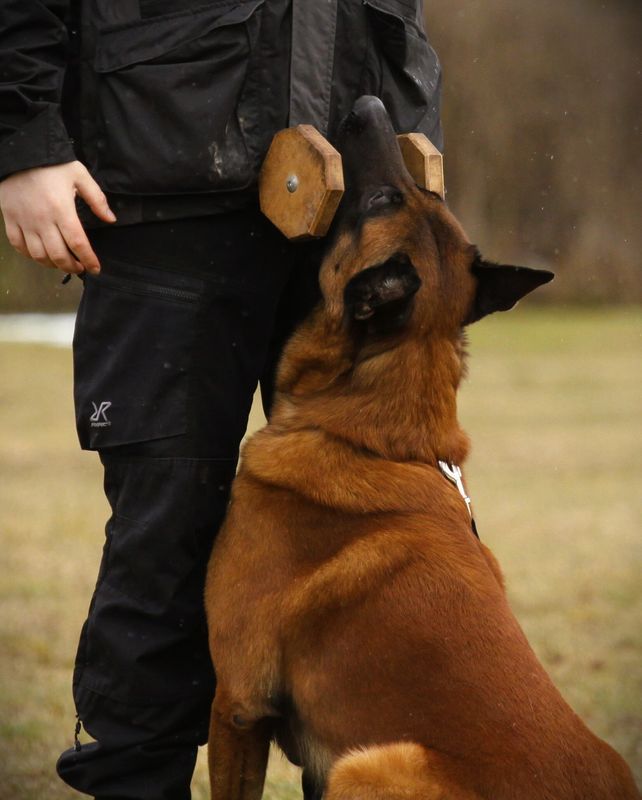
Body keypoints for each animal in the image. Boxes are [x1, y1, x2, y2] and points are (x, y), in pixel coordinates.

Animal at [204, 96, 639, 800]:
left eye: (381, 199)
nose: (371, 103)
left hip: (370, 761)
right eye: (410, 196)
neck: (374, 439)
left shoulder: (238, 703)